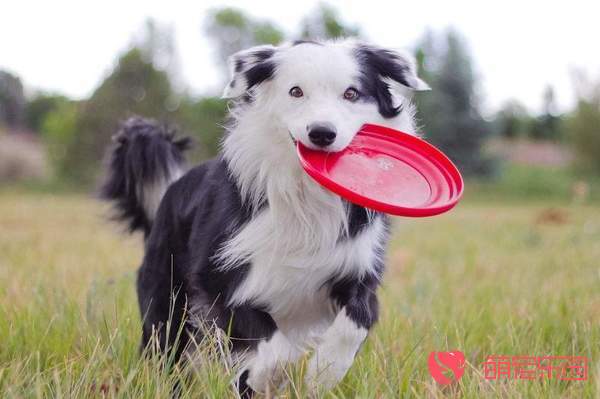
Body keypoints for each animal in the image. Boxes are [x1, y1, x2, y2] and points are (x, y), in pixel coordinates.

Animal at [102, 39, 426, 396]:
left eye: (351, 93)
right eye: (296, 91)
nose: (322, 133)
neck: (305, 195)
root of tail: (171, 189)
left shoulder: (357, 269)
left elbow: (355, 322)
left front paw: (322, 373)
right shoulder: (217, 279)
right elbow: (274, 348)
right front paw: (267, 376)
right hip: (167, 300)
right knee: (166, 353)